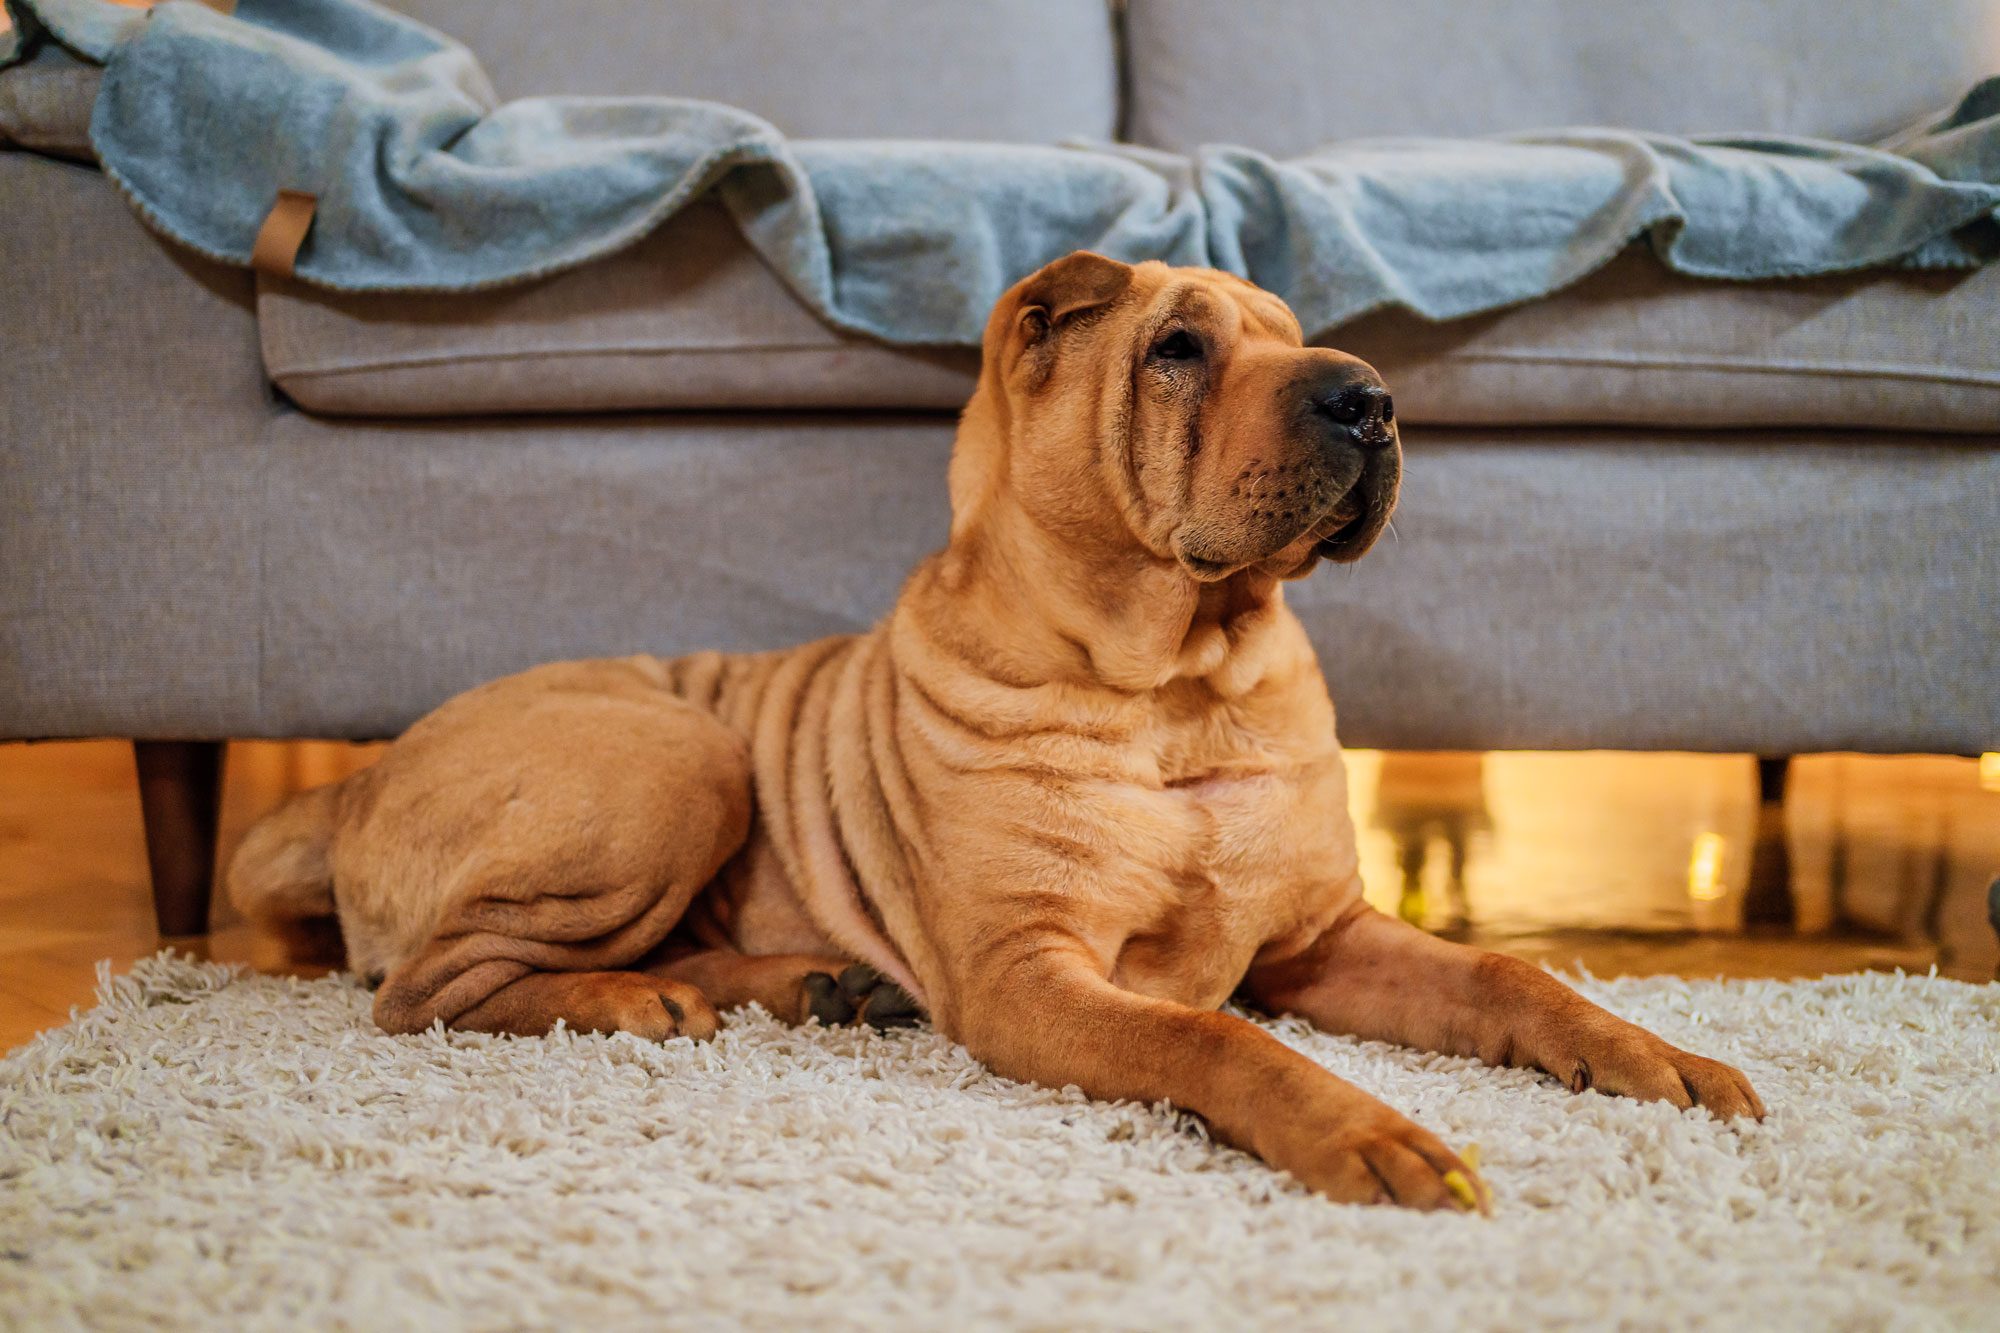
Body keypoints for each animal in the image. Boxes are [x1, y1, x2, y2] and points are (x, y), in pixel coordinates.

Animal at [238, 254, 1768, 1208]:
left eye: (1290, 335)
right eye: (1177, 351)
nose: (1372, 398)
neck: (1180, 689)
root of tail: (354, 784)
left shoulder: (1322, 937)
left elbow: (1515, 979)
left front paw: (1661, 1060)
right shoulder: (1033, 974)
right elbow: (1218, 1045)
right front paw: (1372, 1135)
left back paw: (804, 983)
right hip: (678, 760)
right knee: (425, 987)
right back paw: (637, 1002)